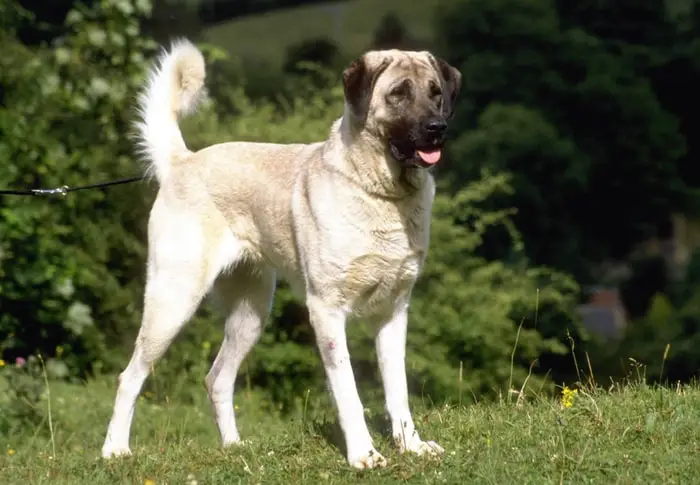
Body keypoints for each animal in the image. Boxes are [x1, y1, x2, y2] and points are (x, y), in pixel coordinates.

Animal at [98, 38, 460, 468]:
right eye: (398, 94)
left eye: (436, 93)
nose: (437, 129)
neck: (381, 193)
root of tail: (184, 161)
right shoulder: (326, 311)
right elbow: (348, 391)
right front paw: (364, 454)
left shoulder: (393, 312)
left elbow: (398, 390)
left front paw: (412, 446)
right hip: (172, 302)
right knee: (130, 376)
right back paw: (114, 450)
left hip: (251, 313)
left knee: (217, 378)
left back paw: (234, 447)